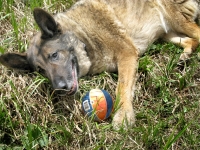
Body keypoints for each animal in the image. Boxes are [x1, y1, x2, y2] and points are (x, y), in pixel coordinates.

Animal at [0, 0, 200, 129]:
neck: (82, 36)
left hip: (176, 20)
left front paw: (123, 115)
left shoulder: (127, 54)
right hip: (167, 32)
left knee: (196, 34)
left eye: (54, 55)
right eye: (40, 70)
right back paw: (184, 56)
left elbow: (122, 87)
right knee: (191, 41)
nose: (59, 88)